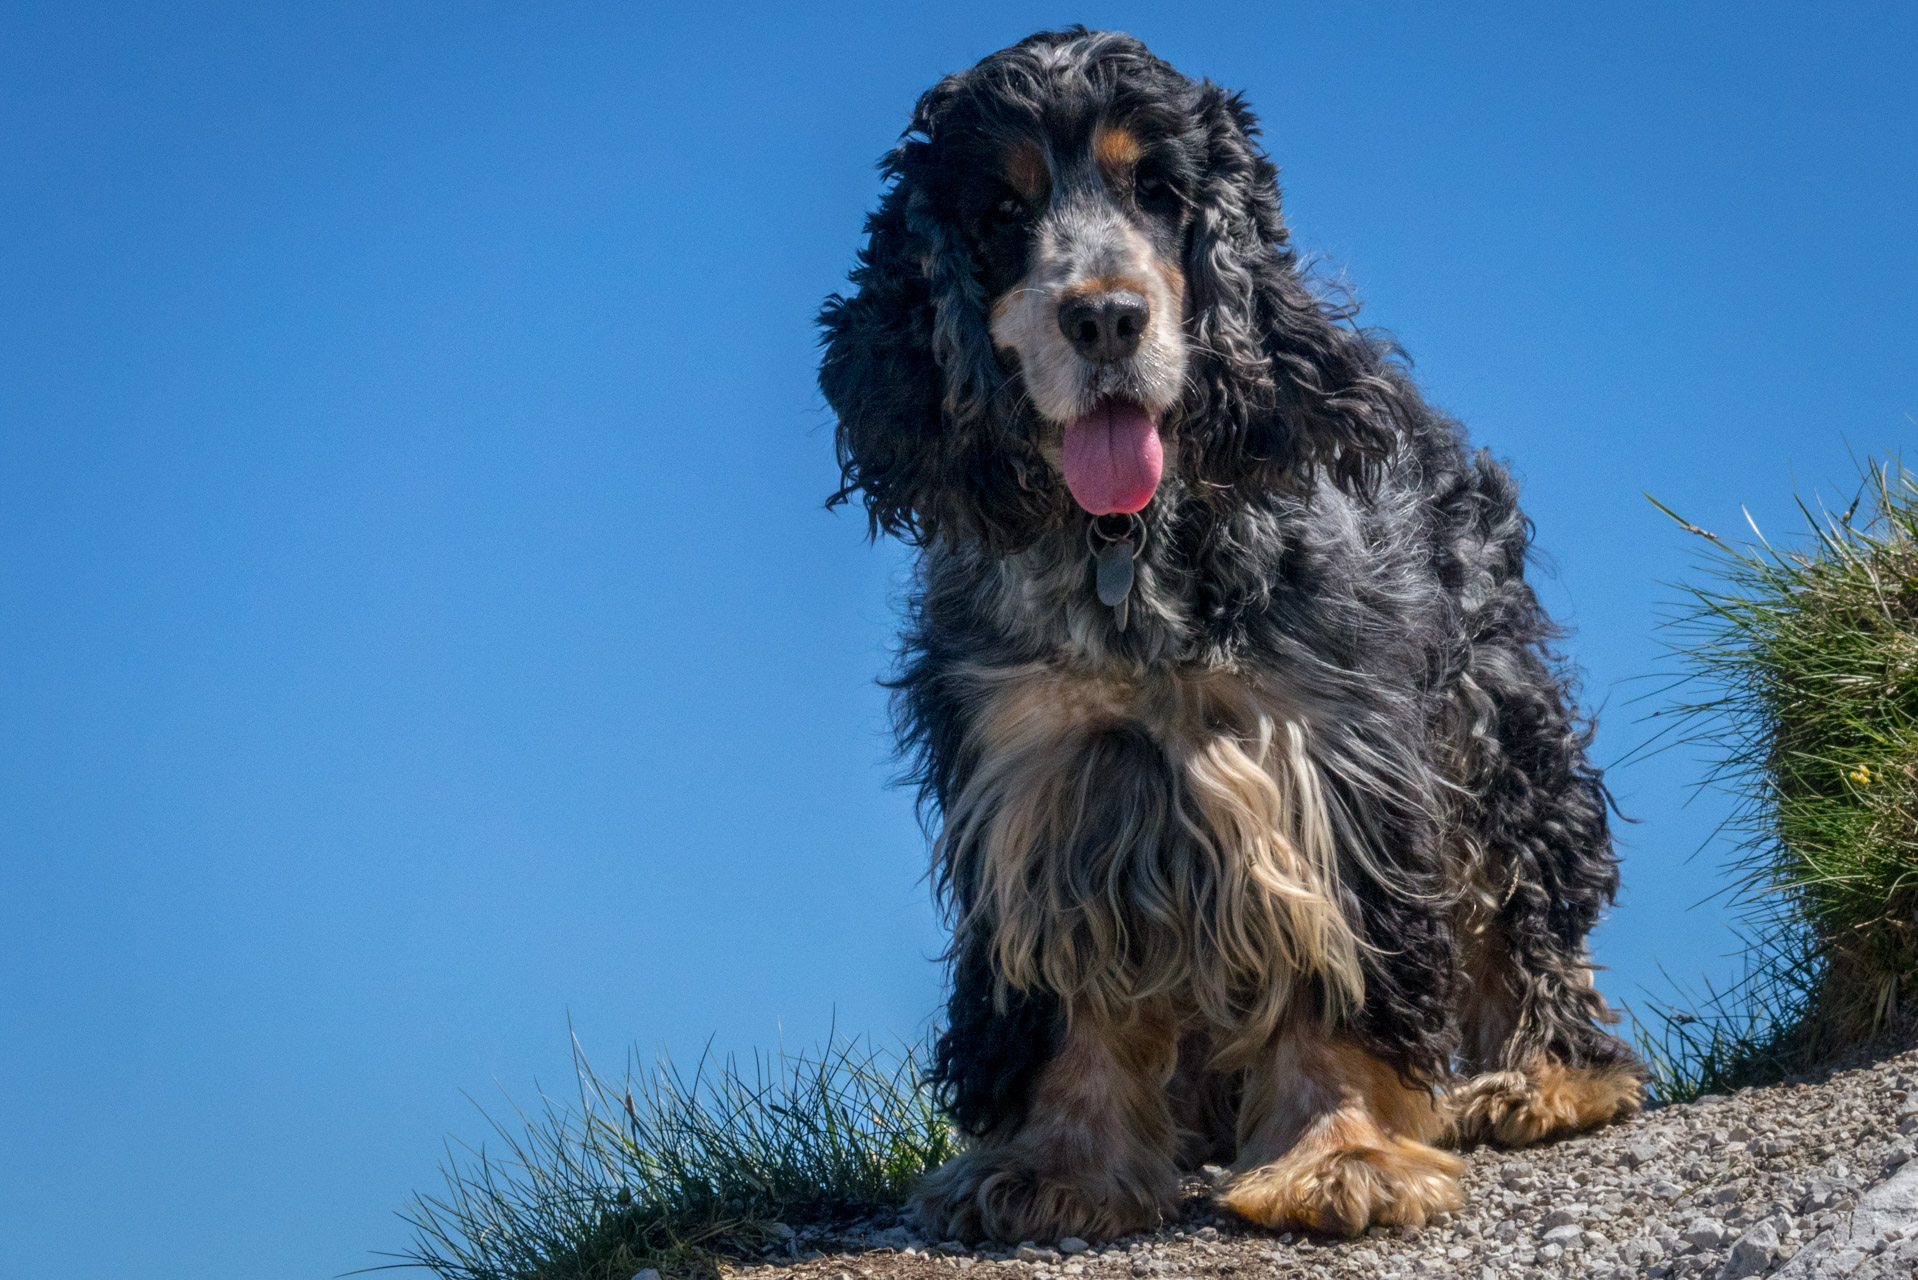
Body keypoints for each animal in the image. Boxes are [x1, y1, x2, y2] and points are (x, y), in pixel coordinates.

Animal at [817, 29, 1641, 1243]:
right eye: (1002, 210)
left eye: (1159, 190)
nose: (1105, 317)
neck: (1126, 551)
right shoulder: (1042, 780)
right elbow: (1067, 987)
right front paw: (1055, 1167)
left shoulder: (1321, 757)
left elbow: (1338, 973)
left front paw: (1340, 1158)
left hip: (1491, 718)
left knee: (1522, 899)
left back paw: (1540, 1078)